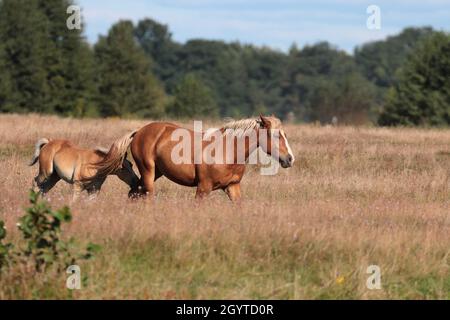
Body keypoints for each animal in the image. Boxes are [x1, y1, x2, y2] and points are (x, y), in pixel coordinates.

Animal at [91, 114, 296, 200]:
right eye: (276, 136)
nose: (290, 159)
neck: (227, 151)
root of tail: (140, 131)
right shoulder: (203, 189)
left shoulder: (232, 187)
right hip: (148, 172)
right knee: (146, 195)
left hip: (156, 173)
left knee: (134, 192)